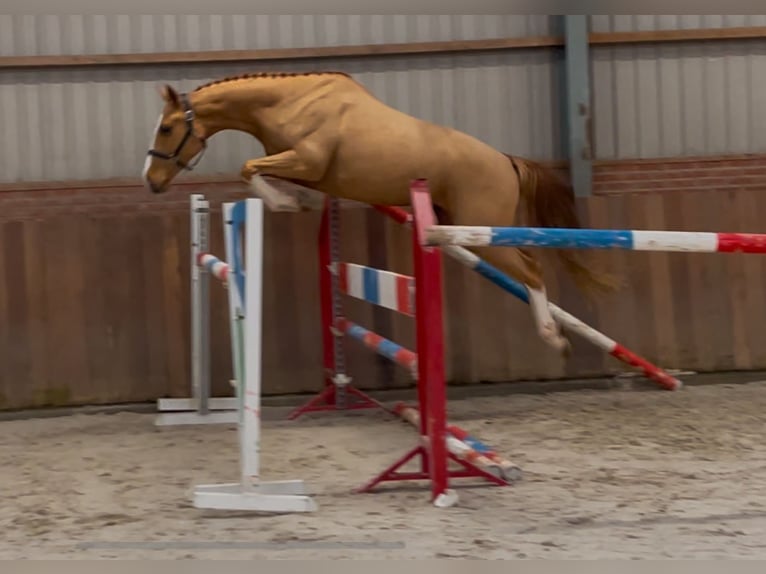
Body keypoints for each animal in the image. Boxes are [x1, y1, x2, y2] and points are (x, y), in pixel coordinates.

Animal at [144, 70, 620, 358]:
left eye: (166, 128)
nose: (151, 181)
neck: (289, 102)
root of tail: (506, 161)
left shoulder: (306, 161)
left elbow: (249, 169)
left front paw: (289, 204)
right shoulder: (300, 166)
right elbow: (261, 173)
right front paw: (299, 202)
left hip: (483, 231)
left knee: (532, 269)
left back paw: (553, 337)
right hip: (458, 225)